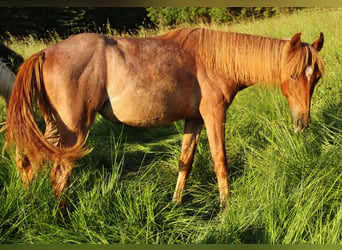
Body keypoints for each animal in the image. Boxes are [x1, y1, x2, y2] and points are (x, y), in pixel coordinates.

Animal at [5, 27, 326, 209]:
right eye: (293, 75)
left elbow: (185, 161)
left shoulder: (194, 121)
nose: (302, 123)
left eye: (317, 78)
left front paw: (175, 202)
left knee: (27, 160)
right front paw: (226, 206)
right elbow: (220, 161)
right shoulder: (214, 115)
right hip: (73, 130)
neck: (215, 59)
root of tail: (45, 53)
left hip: (54, 128)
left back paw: (31, 203)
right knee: (59, 173)